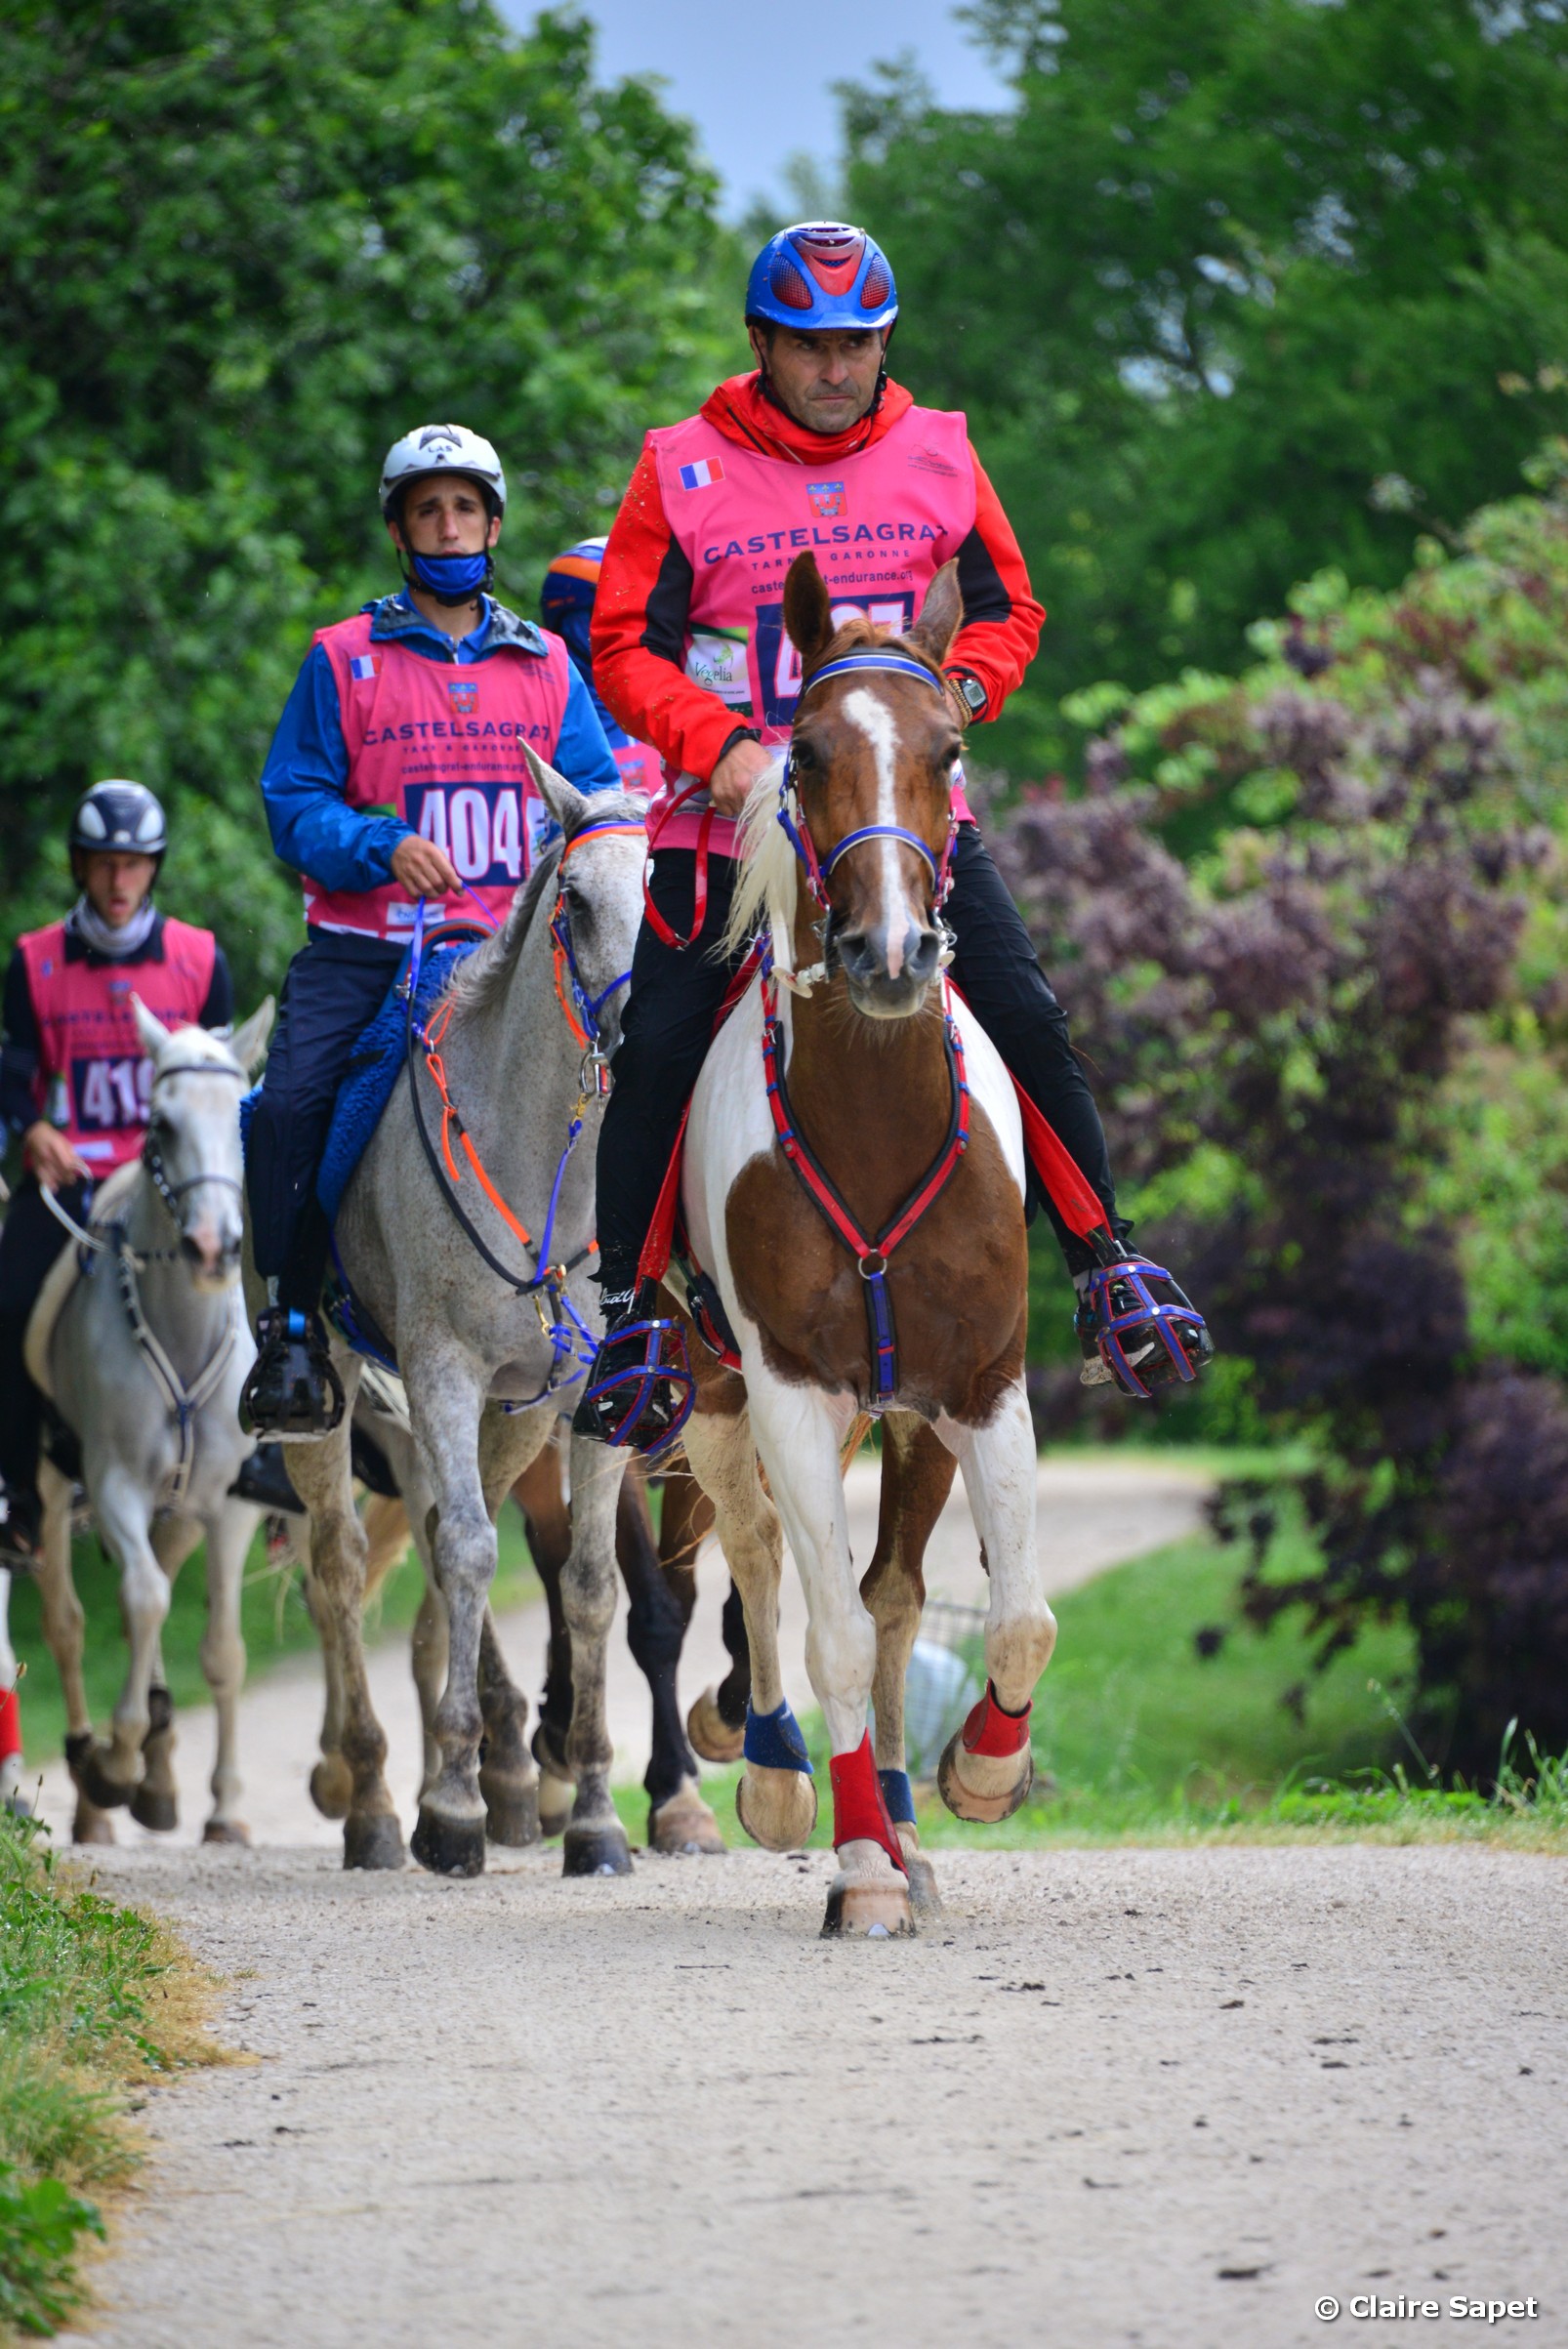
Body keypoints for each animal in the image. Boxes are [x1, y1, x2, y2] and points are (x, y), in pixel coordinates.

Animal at [29, 1000, 272, 1841]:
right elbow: (140, 1600)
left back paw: (161, 1775)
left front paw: (224, 1808)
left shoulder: (229, 1505)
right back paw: (92, 1772)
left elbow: (223, 1647)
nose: (212, 1246)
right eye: (161, 1124)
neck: (178, 1327)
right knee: (67, 1621)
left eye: (242, 1116)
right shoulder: (114, 1488)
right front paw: (117, 1759)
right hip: (48, 1491)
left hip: (181, 1510)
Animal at [272, 765, 639, 1870]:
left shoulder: (586, 1398)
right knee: (342, 1567)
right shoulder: (438, 1369)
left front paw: (593, 1814)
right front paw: (450, 1810)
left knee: (438, 1532)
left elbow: (591, 1582)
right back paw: (376, 1804)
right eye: (576, 902)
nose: (629, 1030)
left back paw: (499, 1775)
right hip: (333, 1394)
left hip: (515, 1415)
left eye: (671, 900)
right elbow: (474, 1552)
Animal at [677, 558, 1052, 1935]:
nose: (889, 956)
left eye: (950, 750)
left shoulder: (981, 1385)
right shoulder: (787, 1393)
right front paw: (857, 1865)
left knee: (893, 1594)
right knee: (760, 1561)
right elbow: (823, 1626)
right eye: (803, 751)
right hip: (711, 1393)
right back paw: (792, 1785)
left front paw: (979, 1775)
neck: (875, 1128)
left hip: (903, 1419)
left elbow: (1014, 1619)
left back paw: (902, 1813)